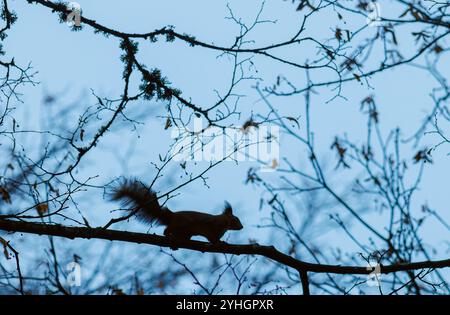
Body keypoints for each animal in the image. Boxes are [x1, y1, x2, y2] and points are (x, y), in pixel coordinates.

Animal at [110, 178, 243, 244]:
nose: (242, 227)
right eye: (236, 219)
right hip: (182, 224)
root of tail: (171, 216)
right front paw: (220, 242)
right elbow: (212, 238)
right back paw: (167, 234)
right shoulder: (212, 227)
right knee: (167, 229)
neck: (224, 224)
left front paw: (221, 241)